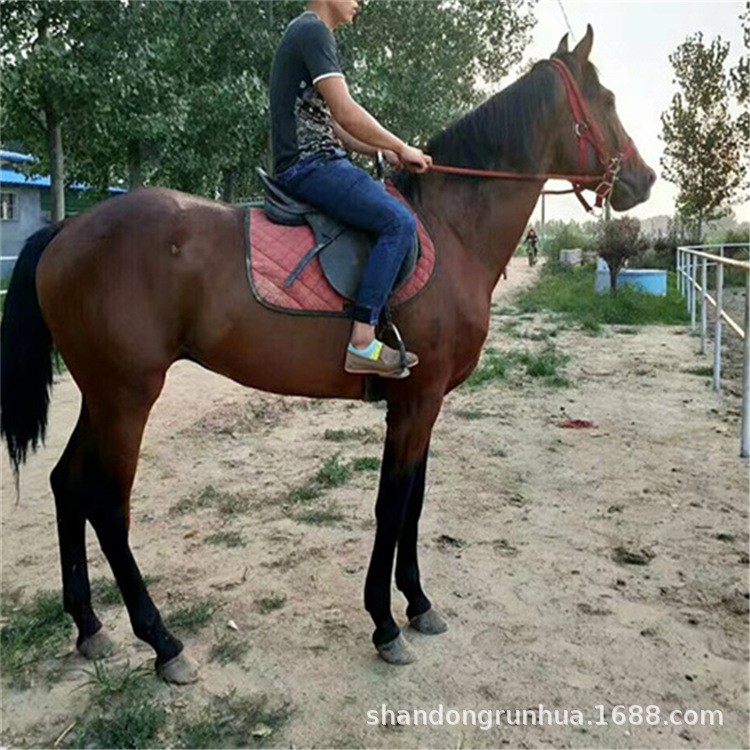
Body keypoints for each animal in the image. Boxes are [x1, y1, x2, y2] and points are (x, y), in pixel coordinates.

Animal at [0, 26, 656, 684]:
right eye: (606, 99)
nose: (645, 179)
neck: (450, 228)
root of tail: (66, 229)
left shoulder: (423, 405)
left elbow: (414, 504)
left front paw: (418, 604)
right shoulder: (415, 402)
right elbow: (392, 506)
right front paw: (385, 623)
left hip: (102, 394)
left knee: (67, 483)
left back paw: (89, 626)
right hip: (127, 397)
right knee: (108, 505)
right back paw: (163, 642)